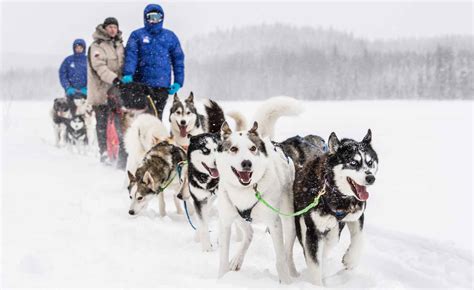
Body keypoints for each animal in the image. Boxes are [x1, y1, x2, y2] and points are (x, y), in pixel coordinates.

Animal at [216, 96, 302, 282]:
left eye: (253, 148)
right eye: (233, 149)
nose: (246, 163)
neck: (245, 191)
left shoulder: (275, 223)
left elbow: (280, 258)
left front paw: (286, 282)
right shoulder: (226, 222)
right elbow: (222, 258)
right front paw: (221, 279)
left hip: (288, 218)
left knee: (287, 252)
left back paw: (292, 273)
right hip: (239, 218)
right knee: (249, 234)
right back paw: (237, 259)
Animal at [286, 130, 380, 286]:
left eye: (370, 162)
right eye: (353, 163)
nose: (371, 178)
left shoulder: (357, 215)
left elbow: (359, 238)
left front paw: (350, 260)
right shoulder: (313, 230)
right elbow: (314, 263)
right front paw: (317, 285)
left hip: (334, 230)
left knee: (329, 244)